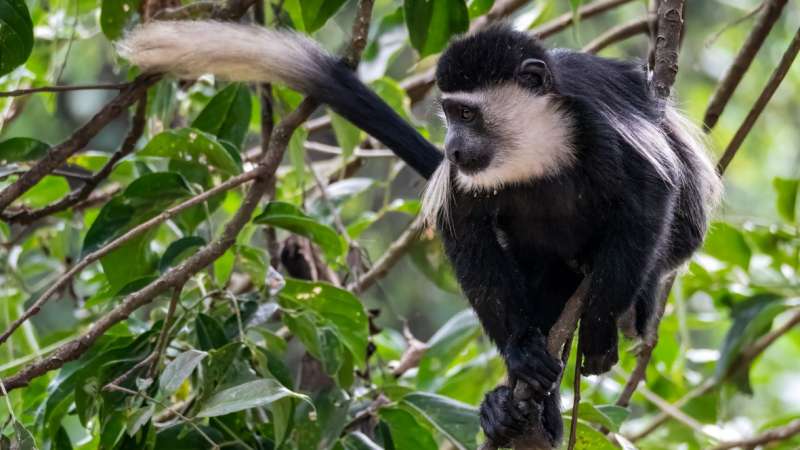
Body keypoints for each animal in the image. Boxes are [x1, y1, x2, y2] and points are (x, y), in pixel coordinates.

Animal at [120, 21, 721, 449]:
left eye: (467, 114)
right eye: (449, 114)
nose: (452, 146)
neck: (539, 143)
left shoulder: (598, 125)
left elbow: (651, 198)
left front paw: (596, 329)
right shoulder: (465, 181)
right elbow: (468, 240)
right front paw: (521, 354)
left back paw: (623, 309)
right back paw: (521, 410)